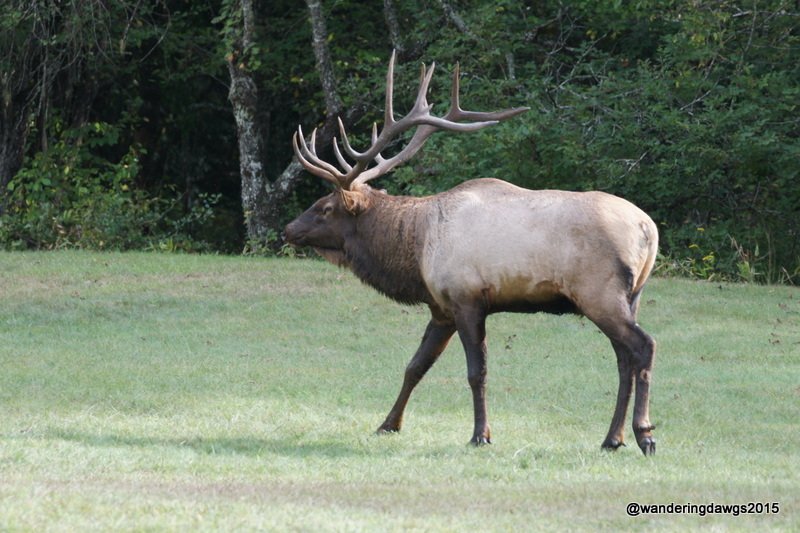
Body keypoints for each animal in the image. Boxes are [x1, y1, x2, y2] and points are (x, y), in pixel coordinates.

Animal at [283, 52, 658, 455]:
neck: (415, 252)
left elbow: (476, 372)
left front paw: (481, 434)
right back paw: (612, 438)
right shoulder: (441, 309)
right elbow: (414, 366)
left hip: (598, 294)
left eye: (326, 208)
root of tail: (648, 230)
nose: (288, 229)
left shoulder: (467, 299)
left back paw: (644, 433)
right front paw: (387, 424)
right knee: (623, 360)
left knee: (643, 346)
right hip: (631, 296)